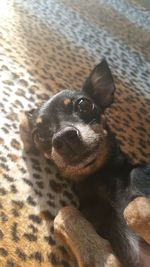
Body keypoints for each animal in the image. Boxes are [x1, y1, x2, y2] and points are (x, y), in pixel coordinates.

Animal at [20, 59, 150, 266]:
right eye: (39, 135)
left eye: (84, 105)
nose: (63, 137)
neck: (100, 178)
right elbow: (65, 212)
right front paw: (102, 257)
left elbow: (134, 207)